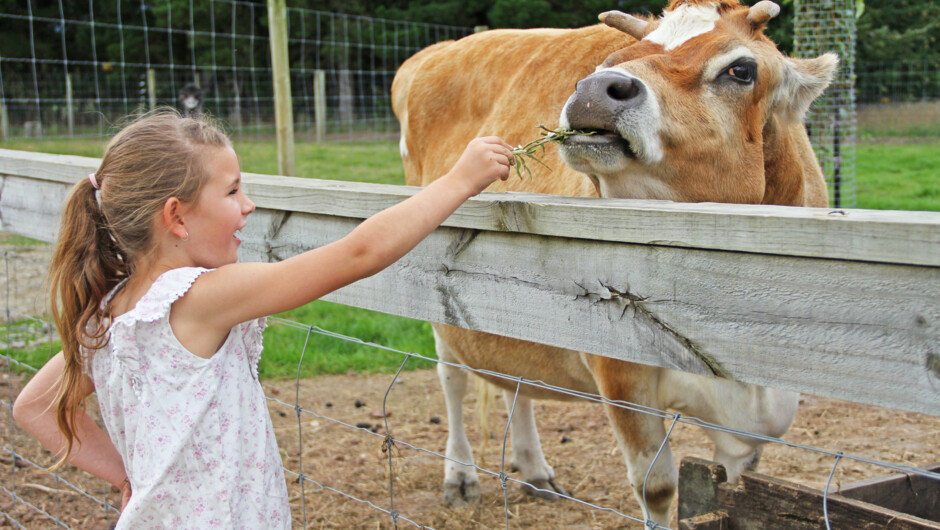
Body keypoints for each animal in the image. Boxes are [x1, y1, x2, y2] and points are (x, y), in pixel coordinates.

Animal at [390, 0, 836, 520]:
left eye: (741, 69)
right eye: (612, 59)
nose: (593, 89)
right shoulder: (621, 375)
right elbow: (656, 487)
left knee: (510, 379)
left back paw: (534, 469)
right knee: (453, 379)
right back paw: (460, 475)